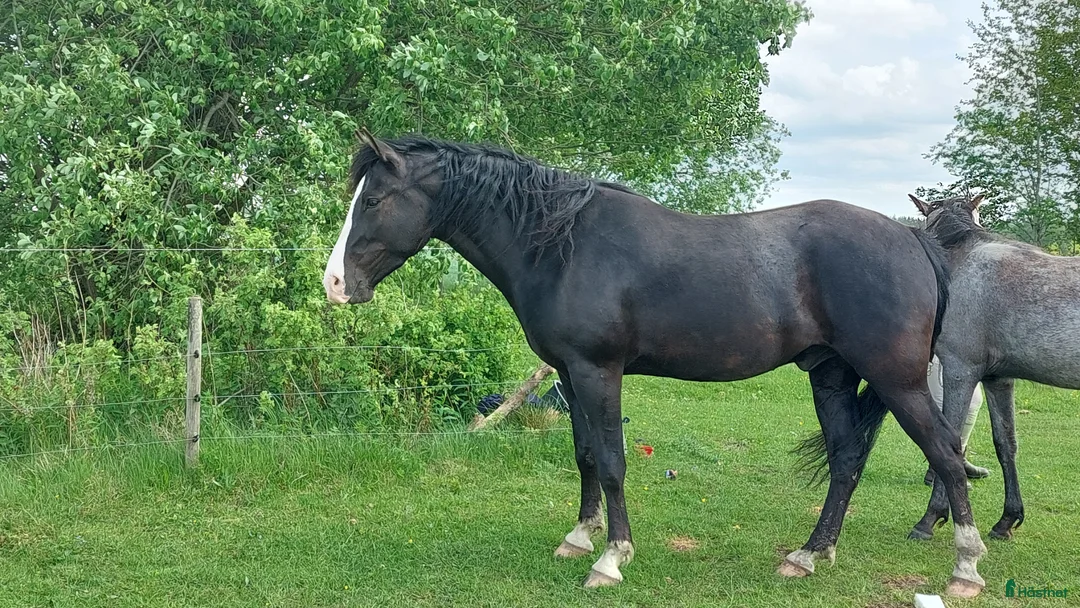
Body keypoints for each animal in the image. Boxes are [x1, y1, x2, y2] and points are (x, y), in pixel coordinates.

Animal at [322, 131, 988, 598]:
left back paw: (965, 566)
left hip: (898, 380)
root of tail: (913, 240)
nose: (333, 283)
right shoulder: (571, 377)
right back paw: (808, 554)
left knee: (947, 455)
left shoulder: (598, 372)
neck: (561, 244)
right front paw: (578, 536)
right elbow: (586, 456)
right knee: (847, 460)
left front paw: (611, 558)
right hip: (831, 375)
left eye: (374, 199)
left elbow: (614, 463)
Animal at [909, 193, 1080, 542]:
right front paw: (1007, 519)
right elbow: (1006, 443)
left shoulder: (960, 371)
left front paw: (930, 518)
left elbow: (952, 441)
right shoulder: (998, 379)